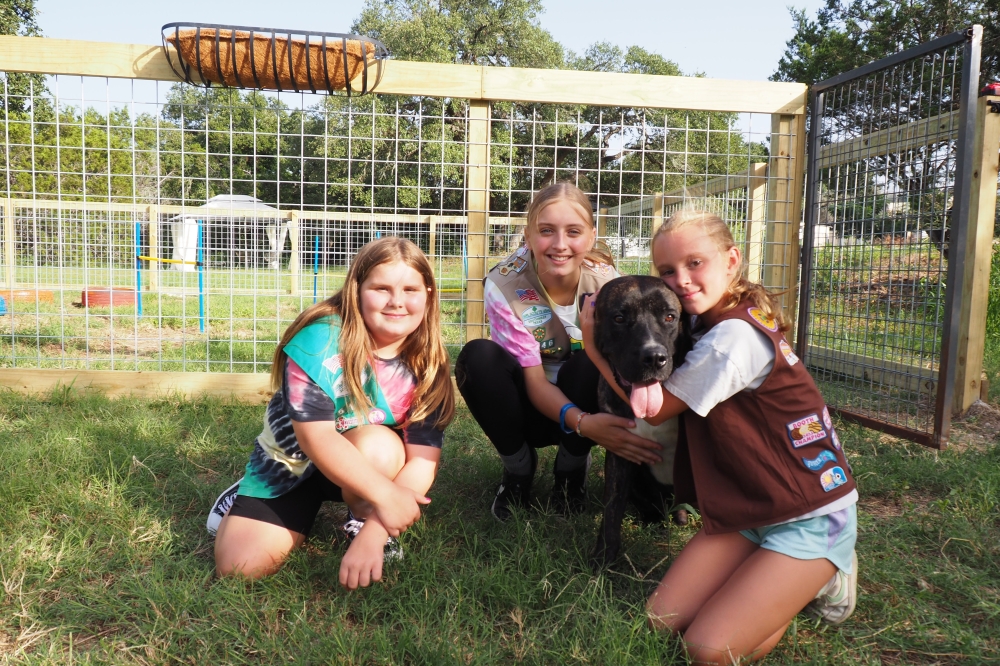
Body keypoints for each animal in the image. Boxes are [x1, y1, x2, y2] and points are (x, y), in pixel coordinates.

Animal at [588, 274, 684, 564]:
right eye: (619, 318)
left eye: (669, 316)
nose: (654, 357)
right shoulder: (620, 452)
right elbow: (611, 510)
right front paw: (603, 558)